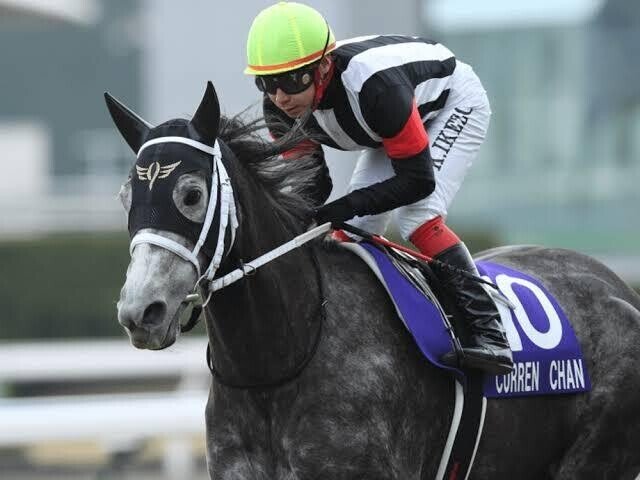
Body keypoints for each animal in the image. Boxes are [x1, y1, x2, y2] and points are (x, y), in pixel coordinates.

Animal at [107, 82, 640, 479]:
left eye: (191, 193)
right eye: (126, 196)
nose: (141, 311)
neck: (277, 367)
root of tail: (619, 288)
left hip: (594, 458)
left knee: (423, 216)